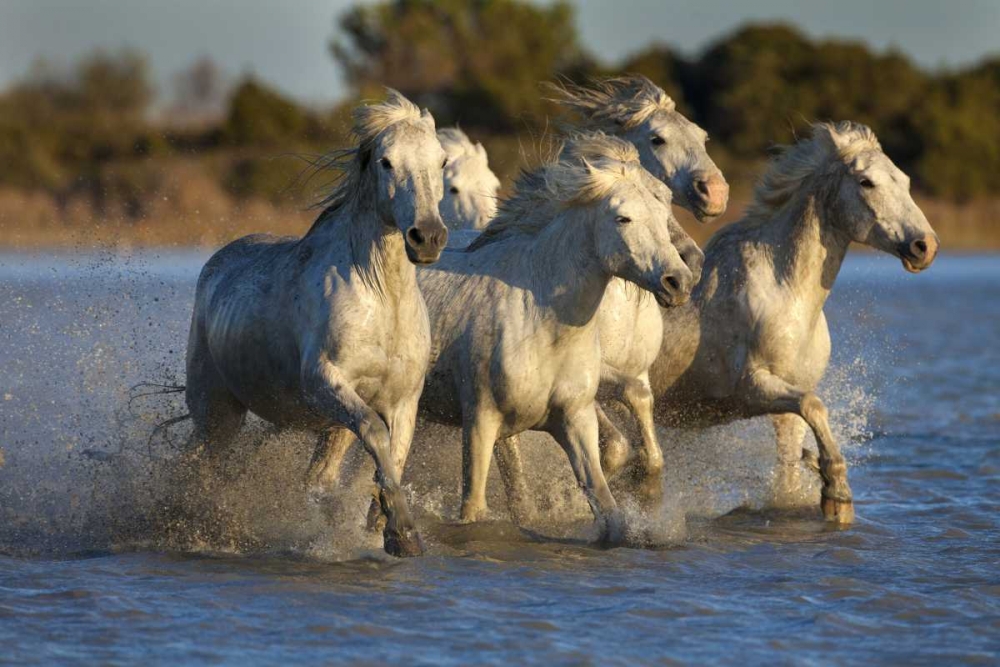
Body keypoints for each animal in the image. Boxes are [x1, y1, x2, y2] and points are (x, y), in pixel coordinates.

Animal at [184, 90, 449, 557]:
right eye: (386, 161)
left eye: (442, 161)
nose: (428, 237)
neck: (381, 297)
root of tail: (216, 264)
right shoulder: (325, 382)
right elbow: (375, 435)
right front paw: (402, 533)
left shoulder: (402, 400)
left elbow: (392, 457)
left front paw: (385, 525)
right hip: (216, 411)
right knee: (200, 468)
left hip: (322, 426)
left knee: (314, 477)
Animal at [645, 121, 939, 524]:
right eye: (866, 182)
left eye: (905, 181)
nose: (925, 246)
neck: (785, 293)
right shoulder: (753, 388)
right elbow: (816, 407)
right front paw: (836, 493)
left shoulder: (790, 399)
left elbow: (792, 457)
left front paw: (823, 490)